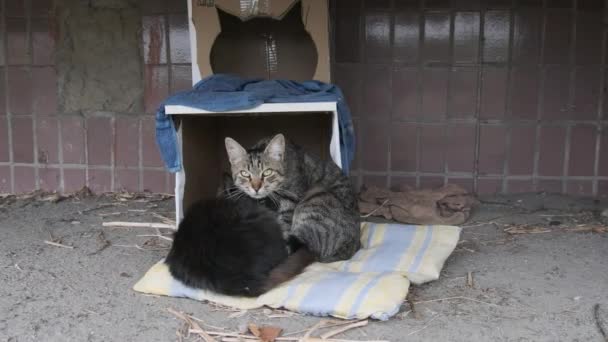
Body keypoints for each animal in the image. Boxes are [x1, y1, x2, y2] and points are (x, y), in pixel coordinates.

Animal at [227, 134, 360, 262]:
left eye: (267, 172)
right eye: (244, 173)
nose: (256, 188)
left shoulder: (290, 198)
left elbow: (284, 227)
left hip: (315, 199)